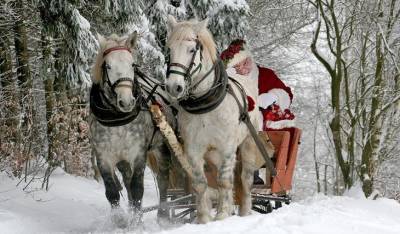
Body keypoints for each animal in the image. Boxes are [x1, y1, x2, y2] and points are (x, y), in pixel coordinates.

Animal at [165, 16, 260, 223]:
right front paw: (204, 219)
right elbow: (201, 184)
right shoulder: (193, 150)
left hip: (249, 144)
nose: (173, 87)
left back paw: (245, 212)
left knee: (245, 180)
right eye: (169, 50)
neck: (205, 105)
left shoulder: (227, 148)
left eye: (192, 50)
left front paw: (222, 215)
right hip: (214, 155)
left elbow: (224, 182)